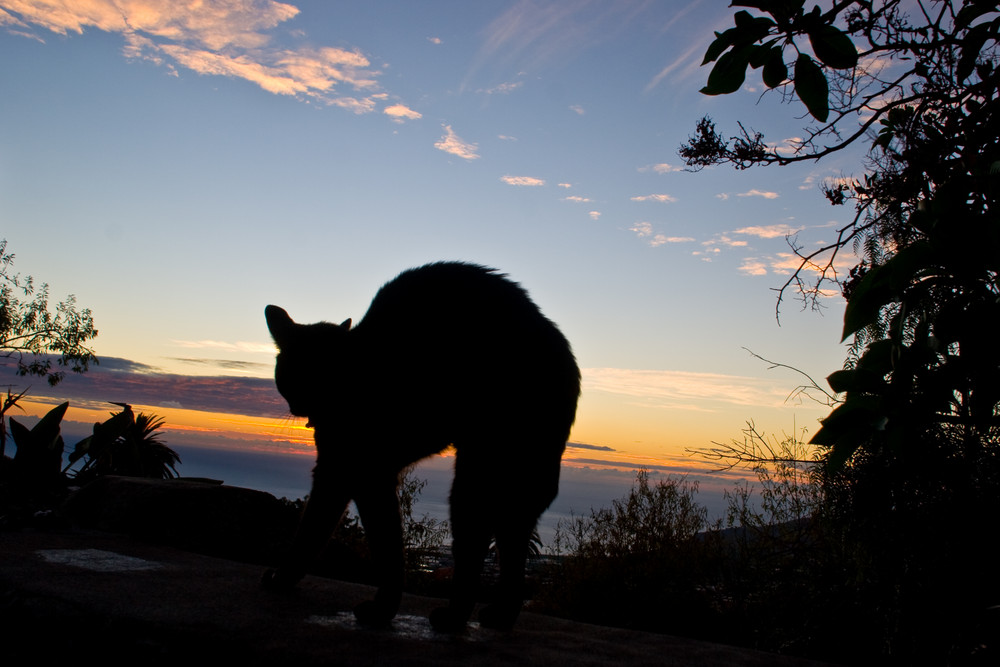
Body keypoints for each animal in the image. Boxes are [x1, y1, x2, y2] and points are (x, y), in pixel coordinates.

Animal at [262, 260, 584, 632]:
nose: (296, 406)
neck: (349, 373)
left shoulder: (357, 470)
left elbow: (359, 539)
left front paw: (379, 609)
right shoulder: (351, 470)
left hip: (476, 474)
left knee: (472, 549)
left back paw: (453, 618)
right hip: (513, 486)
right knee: (512, 550)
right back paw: (500, 617)